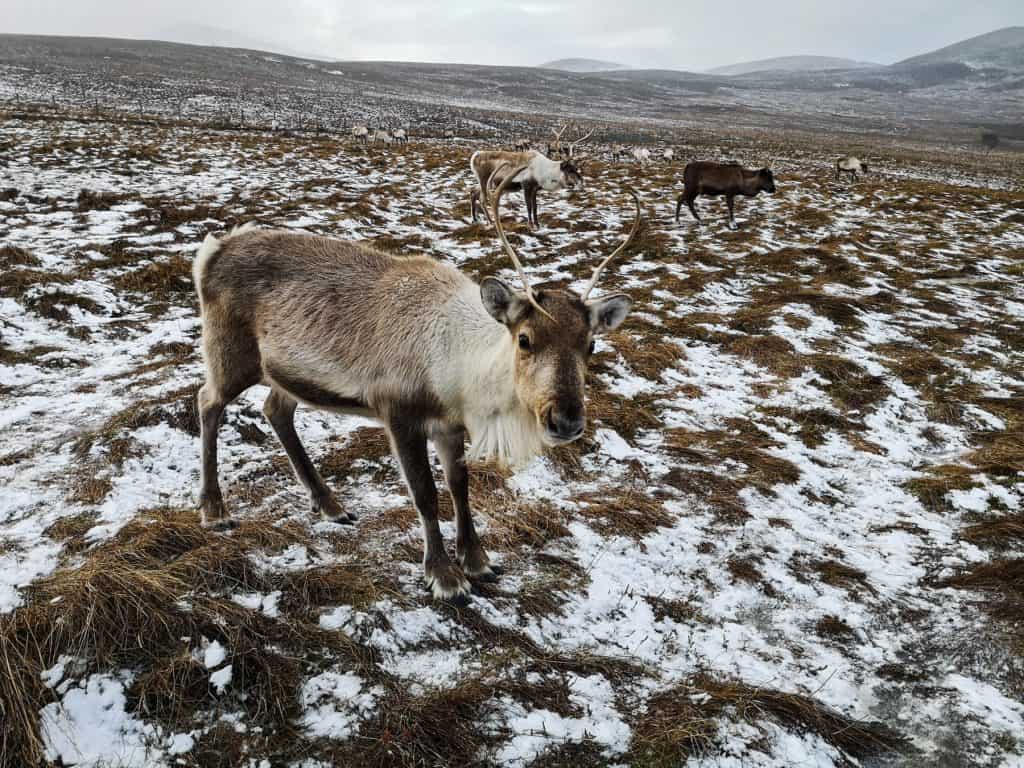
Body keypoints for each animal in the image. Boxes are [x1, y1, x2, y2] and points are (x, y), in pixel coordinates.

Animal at [192, 166, 642, 604]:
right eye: (525, 339)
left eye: (591, 344)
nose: (565, 420)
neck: (463, 371)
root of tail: (210, 253)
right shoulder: (399, 412)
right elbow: (425, 493)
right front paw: (444, 576)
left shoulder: (449, 426)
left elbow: (460, 487)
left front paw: (478, 561)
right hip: (230, 353)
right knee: (207, 401)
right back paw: (214, 510)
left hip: (284, 370)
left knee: (275, 409)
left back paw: (330, 505)